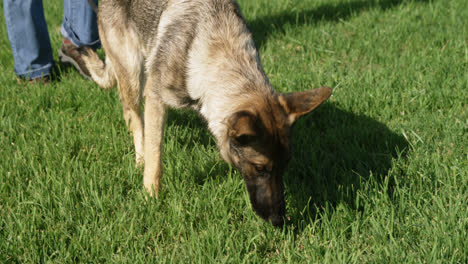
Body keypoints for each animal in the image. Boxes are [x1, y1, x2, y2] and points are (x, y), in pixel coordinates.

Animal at [84, 0, 332, 227]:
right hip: (133, 77)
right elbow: (155, 157)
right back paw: (139, 159)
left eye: (285, 165)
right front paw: (150, 197)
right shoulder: (155, 97)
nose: (278, 220)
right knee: (134, 121)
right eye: (260, 168)